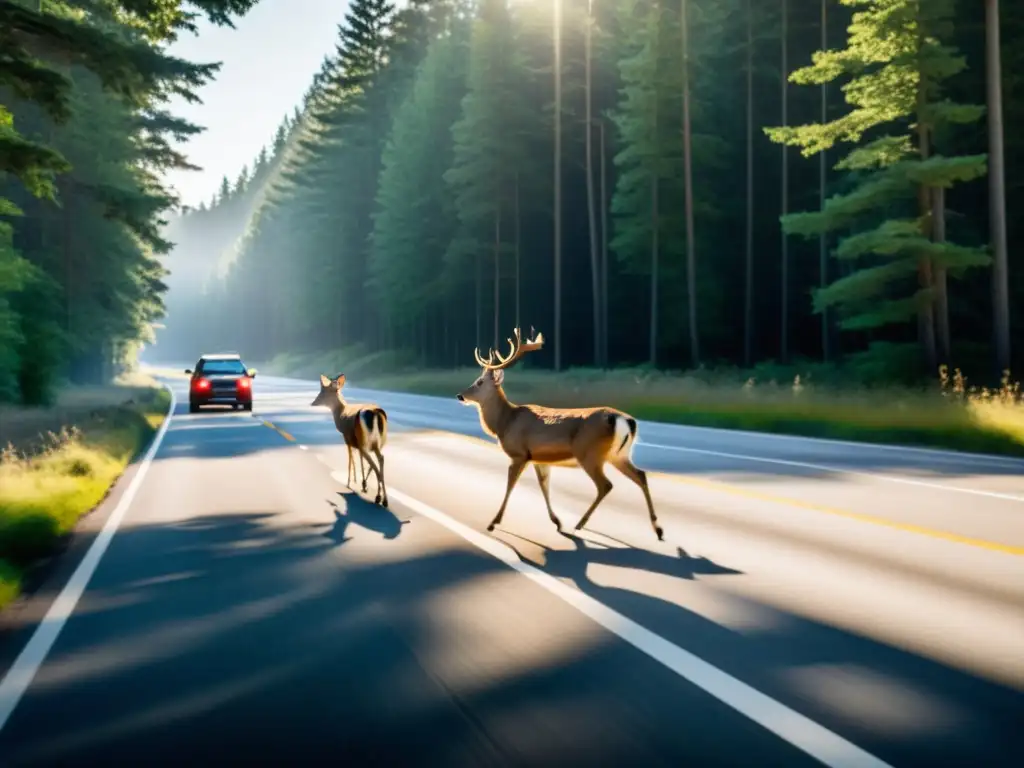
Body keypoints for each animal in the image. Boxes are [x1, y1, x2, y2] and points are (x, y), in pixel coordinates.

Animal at [309, 374, 389, 507]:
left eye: (323, 392)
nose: (313, 403)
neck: (341, 414)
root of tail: (375, 412)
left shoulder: (347, 438)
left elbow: (351, 460)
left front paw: (350, 482)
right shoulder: (357, 442)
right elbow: (360, 460)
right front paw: (363, 484)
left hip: (365, 440)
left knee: (373, 462)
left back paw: (379, 497)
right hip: (378, 442)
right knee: (380, 459)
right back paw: (384, 499)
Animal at [456, 329, 663, 540]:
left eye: (480, 382)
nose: (460, 395)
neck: (505, 422)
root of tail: (624, 420)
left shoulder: (519, 454)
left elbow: (510, 485)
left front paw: (493, 523)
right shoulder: (538, 458)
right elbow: (544, 486)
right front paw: (556, 521)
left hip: (589, 453)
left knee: (606, 485)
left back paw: (580, 523)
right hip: (618, 455)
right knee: (641, 475)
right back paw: (657, 529)